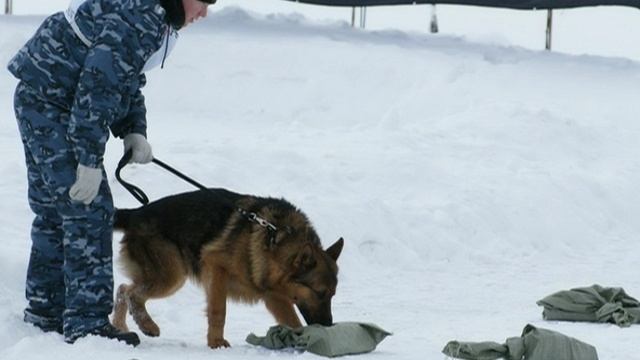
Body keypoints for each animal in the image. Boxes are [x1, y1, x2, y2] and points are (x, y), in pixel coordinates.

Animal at [109, 188, 344, 348]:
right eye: (320, 293)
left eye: (333, 294)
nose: (329, 325)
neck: (277, 239)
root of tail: (136, 213)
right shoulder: (216, 269)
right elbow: (218, 311)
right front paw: (216, 342)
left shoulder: (274, 297)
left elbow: (293, 322)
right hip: (171, 276)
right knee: (133, 294)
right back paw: (147, 325)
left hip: (168, 276)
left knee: (123, 289)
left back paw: (121, 327)